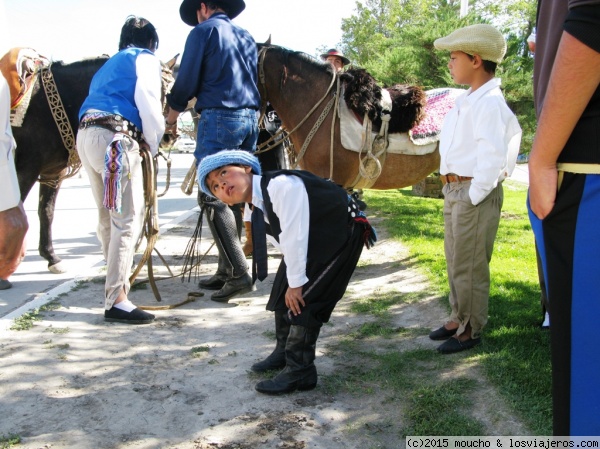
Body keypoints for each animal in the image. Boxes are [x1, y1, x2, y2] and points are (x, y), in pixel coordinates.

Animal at [11, 54, 176, 272]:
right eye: (165, 91)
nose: (169, 136)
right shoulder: (26, 170)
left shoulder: (52, 173)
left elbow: (46, 211)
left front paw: (51, 257)